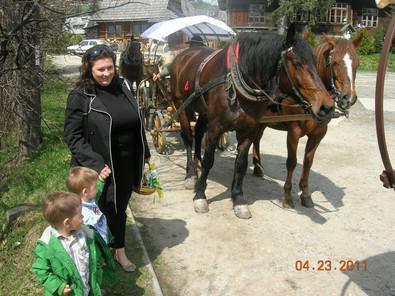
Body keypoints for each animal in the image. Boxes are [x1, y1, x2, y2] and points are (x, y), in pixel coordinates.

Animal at [170, 23, 338, 219]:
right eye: (297, 64)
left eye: (314, 63)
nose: (327, 106)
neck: (235, 83)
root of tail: (184, 53)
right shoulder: (216, 127)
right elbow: (209, 160)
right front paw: (200, 195)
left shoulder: (248, 129)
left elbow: (241, 164)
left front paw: (238, 199)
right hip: (181, 106)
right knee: (188, 138)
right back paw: (190, 173)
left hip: (203, 112)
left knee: (197, 133)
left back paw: (196, 165)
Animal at [252, 33, 364, 208]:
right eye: (334, 62)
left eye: (357, 63)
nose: (349, 98)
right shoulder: (293, 132)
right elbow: (292, 162)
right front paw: (287, 196)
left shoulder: (318, 134)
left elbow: (308, 162)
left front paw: (305, 194)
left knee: (256, 139)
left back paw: (257, 167)